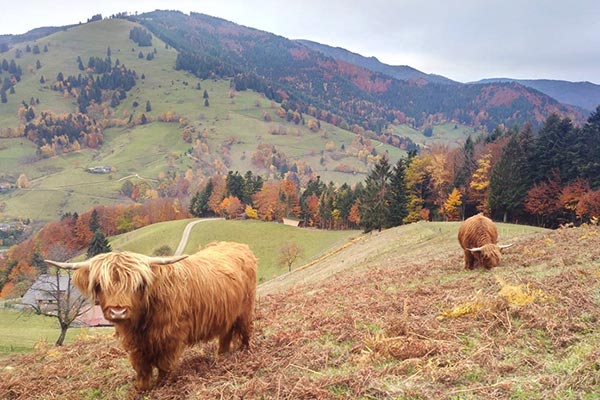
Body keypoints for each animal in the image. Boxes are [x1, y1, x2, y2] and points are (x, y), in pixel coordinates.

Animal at [44, 241, 255, 390]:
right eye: (100, 285)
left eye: (137, 284)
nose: (118, 311)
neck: (142, 322)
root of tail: (236, 245)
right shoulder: (135, 343)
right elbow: (141, 366)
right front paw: (142, 388)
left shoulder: (172, 336)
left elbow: (164, 364)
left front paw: (162, 385)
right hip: (227, 314)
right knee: (226, 334)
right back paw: (222, 356)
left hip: (245, 309)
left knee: (245, 331)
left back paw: (244, 353)